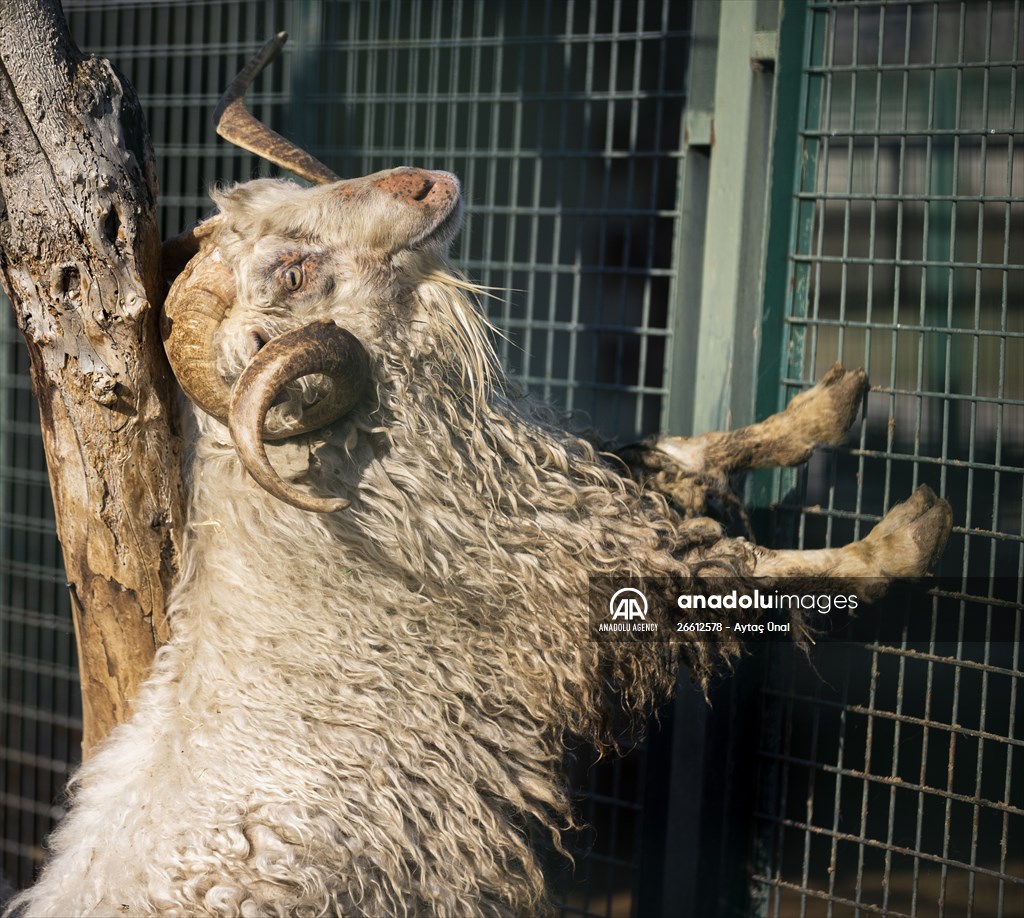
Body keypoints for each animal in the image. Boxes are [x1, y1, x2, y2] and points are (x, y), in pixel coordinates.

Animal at [9, 35, 950, 918]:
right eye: (294, 270)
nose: (426, 182)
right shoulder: (573, 582)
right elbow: (736, 571)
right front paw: (901, 538)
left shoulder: (565, 489)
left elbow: (675, 453)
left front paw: (823, 409)